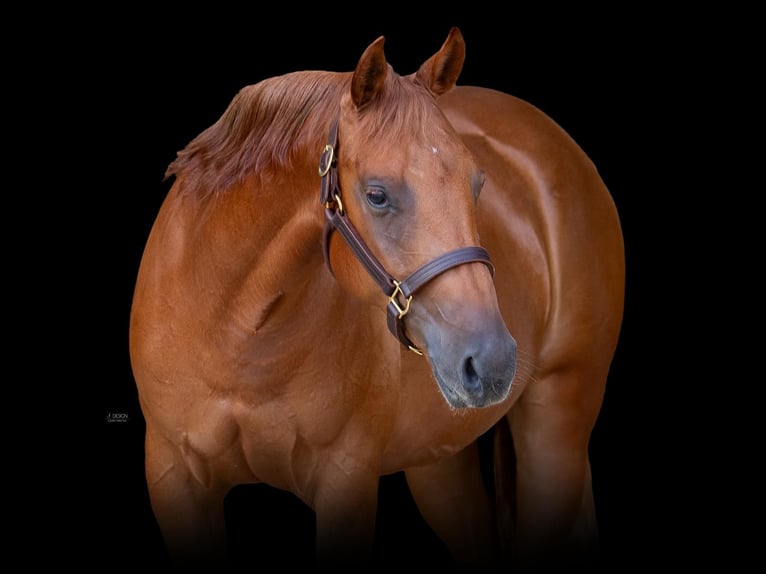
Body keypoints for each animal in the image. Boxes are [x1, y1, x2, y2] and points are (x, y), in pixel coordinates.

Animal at [129, 27, 624, 569]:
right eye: (377, 195)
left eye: (477, 182)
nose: (492, 361)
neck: (238, 331)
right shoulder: (174, 478)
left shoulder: (346, 481)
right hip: (439, 459)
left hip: (558, 421)